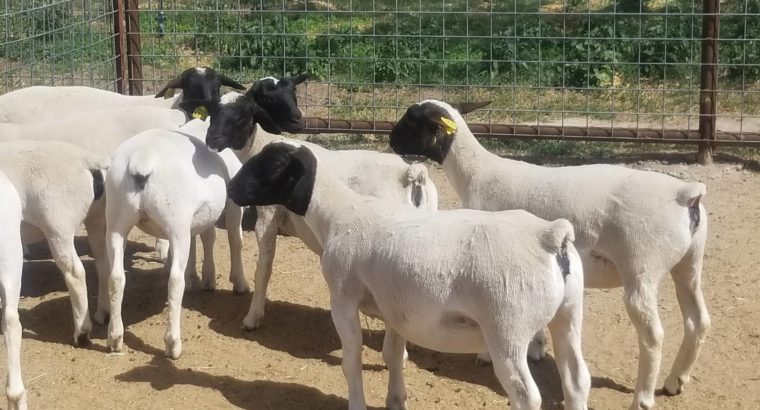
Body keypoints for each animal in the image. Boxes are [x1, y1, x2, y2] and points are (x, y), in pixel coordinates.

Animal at [0, 141, 110, 410]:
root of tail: (89, 163)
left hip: (58, 223)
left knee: (75, 271)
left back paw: (82, 332)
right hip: (96, 217)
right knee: (104, 263)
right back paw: (102, 314)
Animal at [102, 111, 293, 359]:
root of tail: (140, 161)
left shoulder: (200, 214)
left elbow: (205, 238)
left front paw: (202, 277)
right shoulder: (232, 203)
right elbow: (235, 240)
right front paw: (238, 282)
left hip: (117, 221)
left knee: (116, 277)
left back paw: (115, 337)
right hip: (175, 222)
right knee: (174, 280)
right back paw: (173, 344)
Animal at [205, 75, 439, 330]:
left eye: (244, 114)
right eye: (213, 112)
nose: (212, 139)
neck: (261, 143)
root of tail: (413, 174)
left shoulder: (268, 217)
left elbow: (263, 269)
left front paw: (252, 317)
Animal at [227, 141, 591, 410]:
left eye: (273, 165)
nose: (230, 188)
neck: (337, 213)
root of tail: (551, 236)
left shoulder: (342, 299)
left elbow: (351, 360)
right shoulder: (395, 309)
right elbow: (392, 356)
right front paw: (396, 400)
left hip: (508, 331)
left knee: (526, 395)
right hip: (568, 315)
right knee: (577, 381)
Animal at [388, 100, 710, 410]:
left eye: (412, 119)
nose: (390, 141)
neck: (476, 174)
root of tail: (685, 193)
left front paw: (485, 355)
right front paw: (537, 346)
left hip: (642, 266)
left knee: (654, 335)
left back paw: (642, 398)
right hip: (689, 263)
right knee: (698, 320)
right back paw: (676, 381)